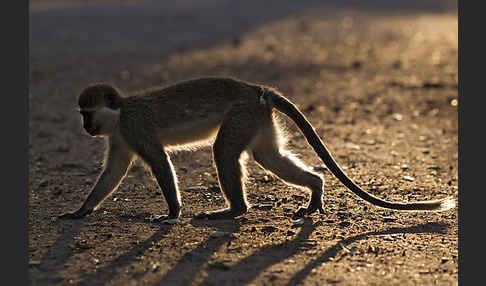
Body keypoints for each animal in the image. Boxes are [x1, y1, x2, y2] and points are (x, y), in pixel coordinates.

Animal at [58, 77, 458, 220]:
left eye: (86, 113)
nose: (86, 128)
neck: (120, 113)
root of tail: (256, 90)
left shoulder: (134, 128)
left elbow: (158, 161)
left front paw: (172, 213)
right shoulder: (119, 136)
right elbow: (113, 172)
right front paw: (81, 211)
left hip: (242, 114)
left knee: (224, 152)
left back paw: (234, 210)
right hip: (257, 121)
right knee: (269, 157)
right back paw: (315, 189)